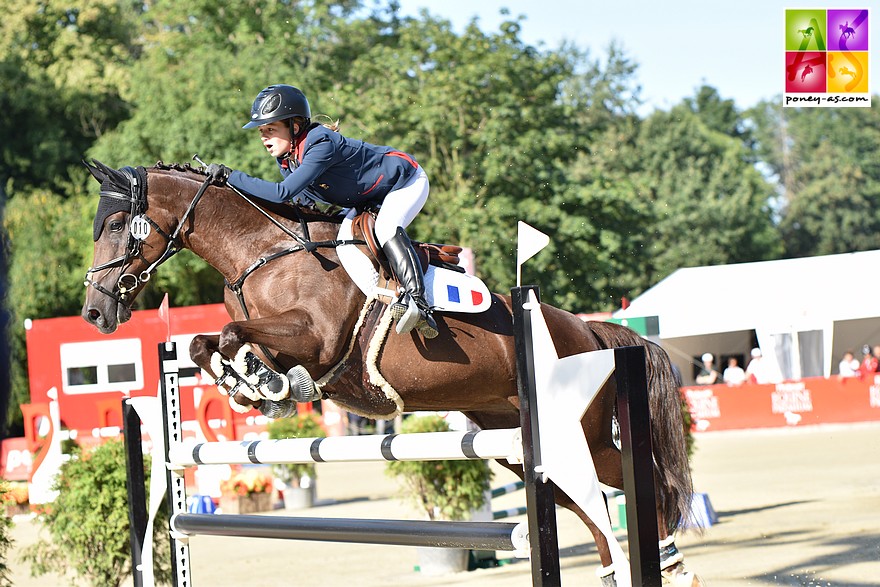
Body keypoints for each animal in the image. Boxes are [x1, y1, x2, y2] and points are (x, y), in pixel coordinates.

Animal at [81, 161, 700, 587]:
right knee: (590, 502)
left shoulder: (318, 338)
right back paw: (620, 570)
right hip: (518, 444)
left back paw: (671, 560)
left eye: (115, 225)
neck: (263, 253)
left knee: (641, 481)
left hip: (580, 436)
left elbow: (238, 338)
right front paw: (257, 388)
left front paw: (272, 384)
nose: (94, 312)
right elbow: (207, 343)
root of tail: (593, 333)